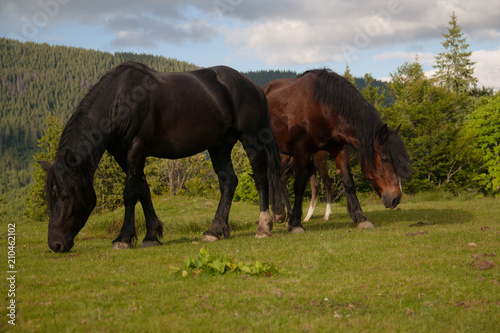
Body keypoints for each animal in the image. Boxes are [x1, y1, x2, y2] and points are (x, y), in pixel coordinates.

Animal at [266, 68, 410, 232]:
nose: (396, 198)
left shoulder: (340, 151)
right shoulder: (301, 151)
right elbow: (299, 185)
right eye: (385, 159)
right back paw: (279, 215)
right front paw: (295, 223)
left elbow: (348, 183)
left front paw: (360, 218)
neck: (321, 107)